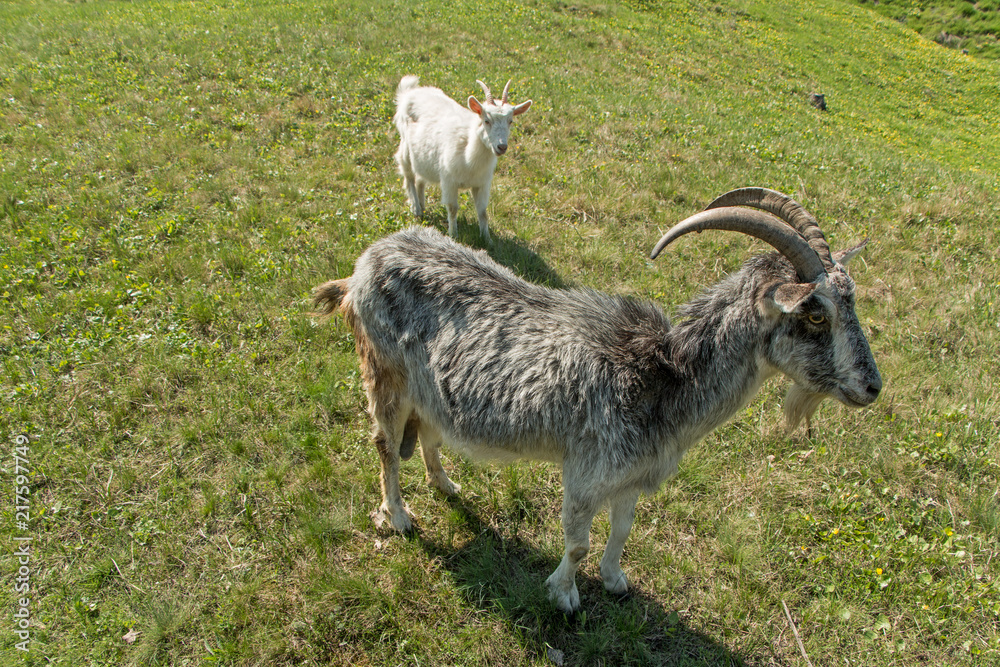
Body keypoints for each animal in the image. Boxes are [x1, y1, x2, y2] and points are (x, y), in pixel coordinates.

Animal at [313, 188, 882, 614]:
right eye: (815, 313)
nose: (872, 388)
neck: (661, 377)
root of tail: (363, 265)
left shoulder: (633, 475)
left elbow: (623, 529)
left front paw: (614, 579)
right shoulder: (586, 473)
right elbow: (578, 542)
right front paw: (563, 594)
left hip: (427, 389)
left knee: (430, 431)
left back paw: (445, 483)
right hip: (383, 373)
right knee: (385, 445)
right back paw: (399, 515)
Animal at [393, 75, 532, 243]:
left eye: (510, 121)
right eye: (486, 120)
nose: (502, 146)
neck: (468, 154)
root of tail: (410, 92)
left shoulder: (482, 183)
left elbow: (483, 211)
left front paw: (487, 239)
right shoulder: (449, 180)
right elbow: (453, 209)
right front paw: (453, 235)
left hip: (423, 158)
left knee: (420, 179)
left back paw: (422, 206)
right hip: (405, 148)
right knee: (409, 177)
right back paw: (416, 209)